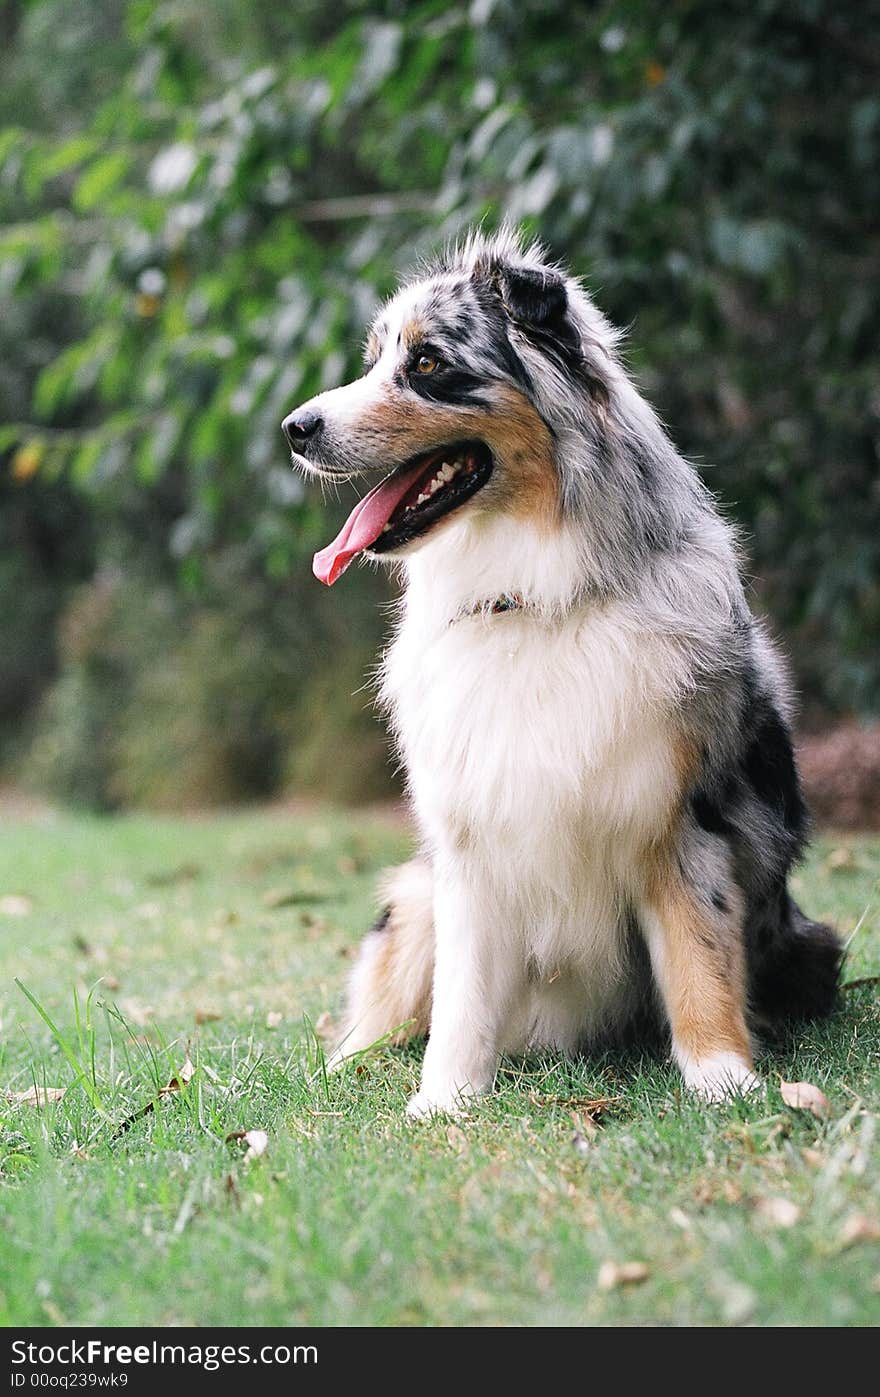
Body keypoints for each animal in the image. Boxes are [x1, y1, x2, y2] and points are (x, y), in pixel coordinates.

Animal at [282, 231, 843, 1123]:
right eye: (374, 361)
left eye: (428, 362)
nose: (294, 428)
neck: (530, 598)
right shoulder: (469, 841)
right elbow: (463, 996)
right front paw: (444, 1099)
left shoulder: (682, 818)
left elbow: (699, 954)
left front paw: (723, 1077)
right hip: (413, 895)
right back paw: (350, 1065)